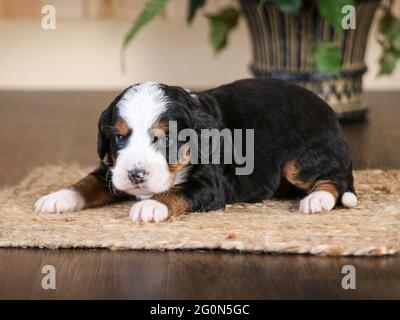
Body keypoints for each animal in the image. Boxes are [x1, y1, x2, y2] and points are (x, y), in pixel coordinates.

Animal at [34, 79, 358, 222]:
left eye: (165, 139)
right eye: (119, 138)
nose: (136, 174)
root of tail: (329, 112)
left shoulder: (211, 185)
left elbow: (177, 192)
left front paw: (151, 206)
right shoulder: (113, 168)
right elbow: (88, 181)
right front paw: (57, 197)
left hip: (299, 159)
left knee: (338, 178)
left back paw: (316, 200)